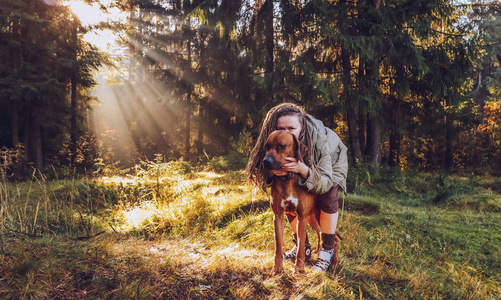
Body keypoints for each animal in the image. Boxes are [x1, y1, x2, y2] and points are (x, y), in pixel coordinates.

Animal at [262, 130, 320, 274]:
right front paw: (277, 268)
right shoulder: (278, 216)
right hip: (311, 218)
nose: (265, 161)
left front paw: (299, 268)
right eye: (267, 146)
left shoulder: (302, 217)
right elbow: (278, 246)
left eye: (281, 146)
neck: (288, 179)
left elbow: (300, 248)